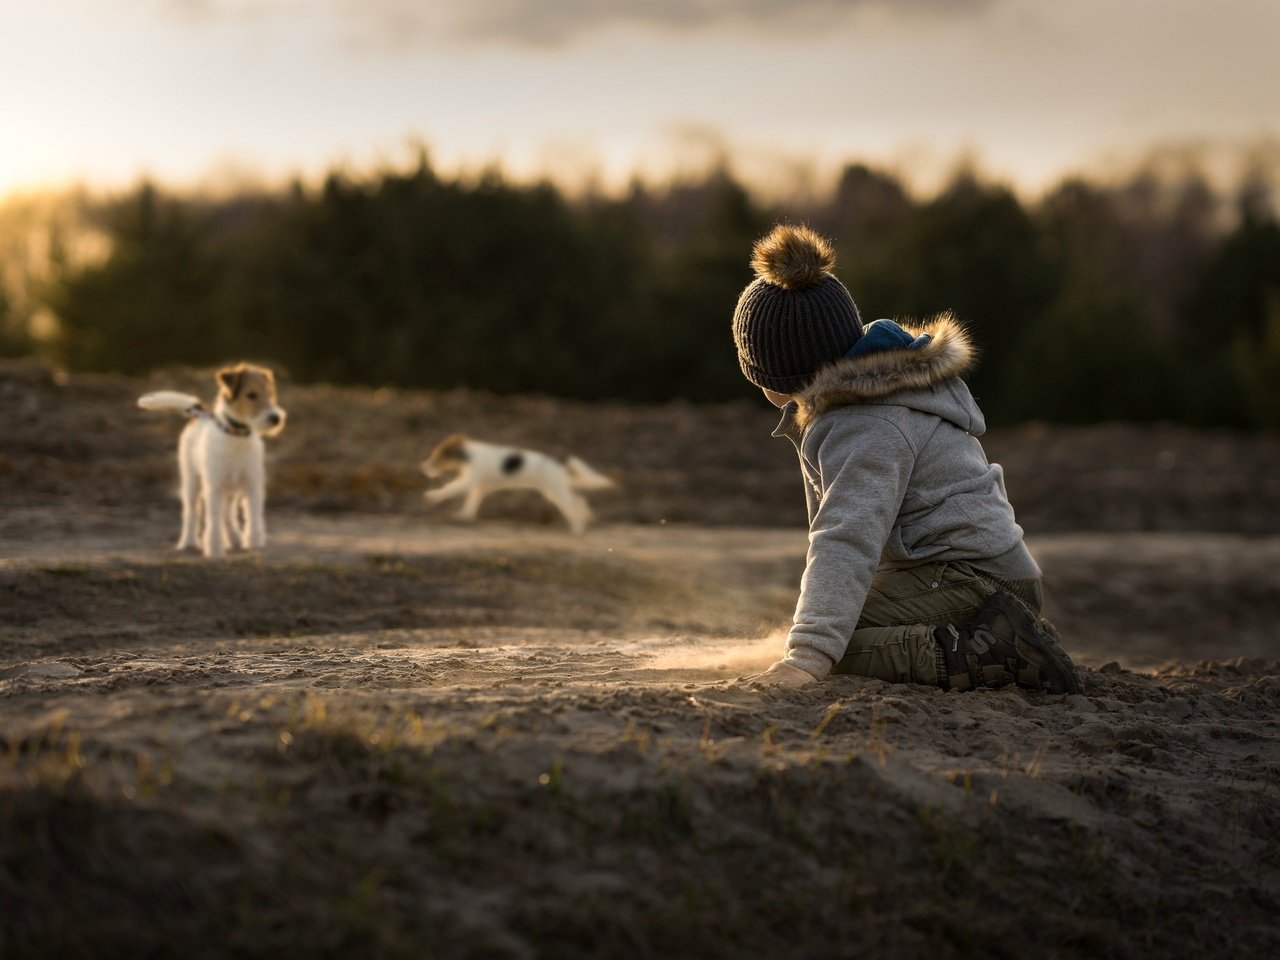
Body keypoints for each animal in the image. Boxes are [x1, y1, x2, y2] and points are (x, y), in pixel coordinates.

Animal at [141, 363, 289, 560]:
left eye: (270, 393)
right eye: (251, 394)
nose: (276, 418)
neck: (236, 436)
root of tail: (200, 413)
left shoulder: (252, 485)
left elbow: (254, 516)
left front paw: (254, 541)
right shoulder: (214, 487)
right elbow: (213, 520)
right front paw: (214, 549)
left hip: (232, 490)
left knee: (228, 515)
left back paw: (235, 538)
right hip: (192, 483)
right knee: (191, 513)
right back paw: (187, 542)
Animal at [419, 435, 614, 535]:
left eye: (437, 457)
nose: (424, 467)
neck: (468, 455)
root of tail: (559, 461)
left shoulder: (467, 482)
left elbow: (449, 489)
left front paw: (431, 496)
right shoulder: (479, 488)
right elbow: (471, 502)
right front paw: (464, 516)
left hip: (556, 491)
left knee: (573, 506)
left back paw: (577, 529)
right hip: (553, 491)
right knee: (579, 499)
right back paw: (587, 518)